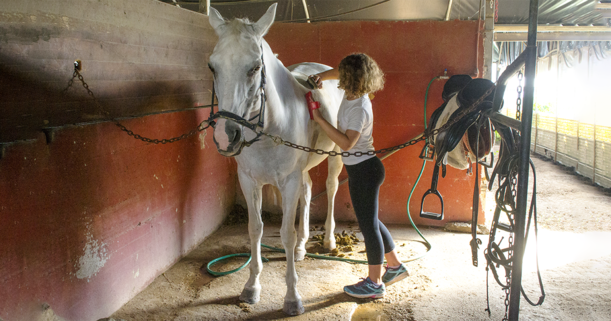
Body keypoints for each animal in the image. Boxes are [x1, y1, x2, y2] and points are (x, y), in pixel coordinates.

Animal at [208, 3, 344, 314]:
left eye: (255, 67)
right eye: (212, 66)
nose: (225, 136)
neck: (270, 127)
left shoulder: (288, 182)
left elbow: (285, 233)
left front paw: (292, 297)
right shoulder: (249, 181)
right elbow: (255, 229)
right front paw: (251, 287)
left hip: (336, 154)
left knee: (331, 188)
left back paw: (328, 239)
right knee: (309, 191)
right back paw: (303, 247)